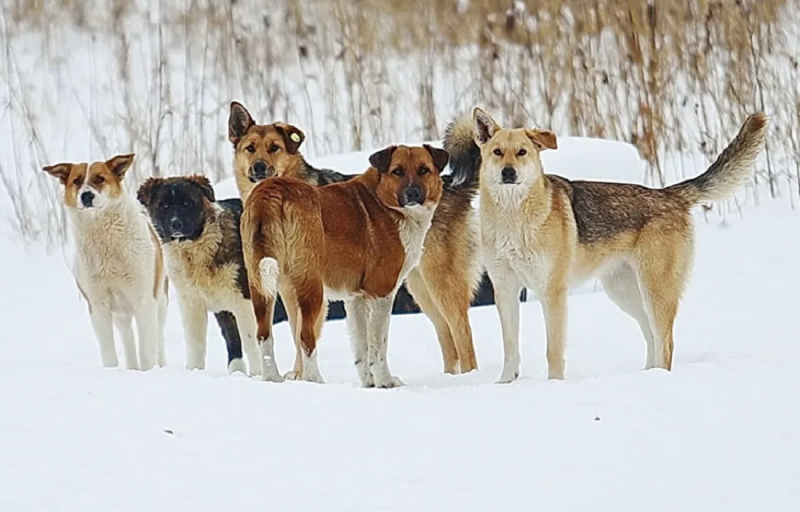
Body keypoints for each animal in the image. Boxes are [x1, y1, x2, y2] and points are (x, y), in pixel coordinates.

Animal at [44, 154, 169, 370]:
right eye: (76, 181)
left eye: (100, 179)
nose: (86, 196)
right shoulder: (97, 305)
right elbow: (109, 351)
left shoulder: (144, 300)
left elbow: (147, 349)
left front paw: (148, 371)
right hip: (121, 313)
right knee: (128, 337)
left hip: (160, 300)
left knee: (158, 336)